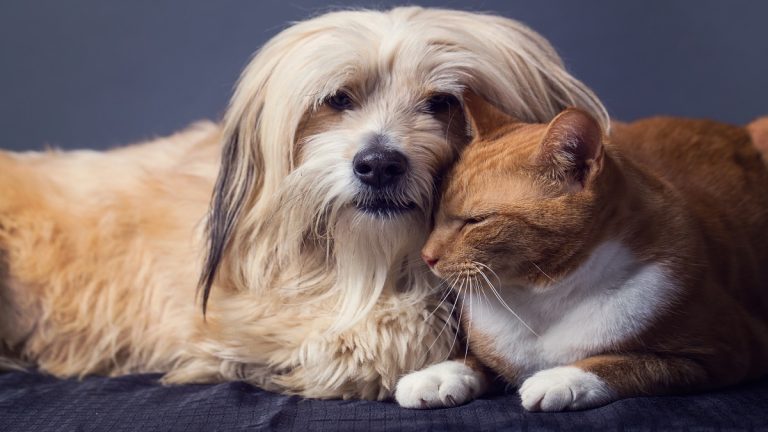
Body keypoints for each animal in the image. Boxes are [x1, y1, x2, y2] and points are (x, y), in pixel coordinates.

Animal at [0, 5, 608, 404]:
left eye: (444, 103)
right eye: (337, 99)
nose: (378, 164)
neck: (377, 262)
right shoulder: (251, 319)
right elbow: (399, 334)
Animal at [420, 97, 768, 412]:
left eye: (475, 221)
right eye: (435, 215)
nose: (426, 256)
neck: (540, 299)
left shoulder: (721, 351)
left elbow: (631, 363)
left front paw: (562, 379)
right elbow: (473, 358)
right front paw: (437, 375)